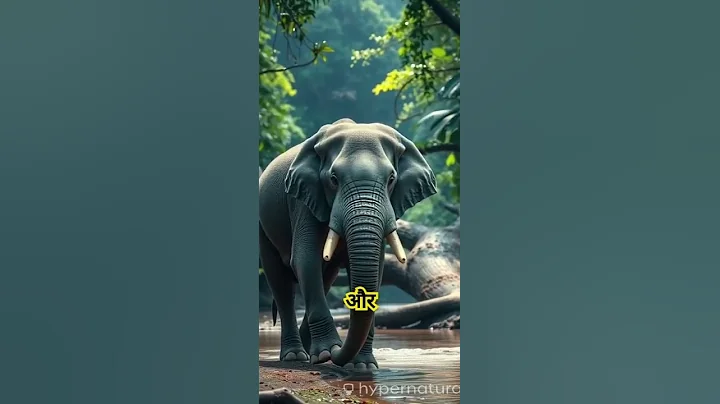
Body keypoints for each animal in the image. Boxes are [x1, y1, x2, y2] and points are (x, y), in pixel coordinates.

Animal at [258, 118, 437, 369]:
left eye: (391, 179)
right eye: (333, 179)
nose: (337, 353)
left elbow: (375, 268)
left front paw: (363, 366)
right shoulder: (301, 200)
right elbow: (305, 259)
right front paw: (327, 354)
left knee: (324, 279)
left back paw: (311, 355)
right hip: (263, 225)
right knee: (280, 281)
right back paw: (298, 356)